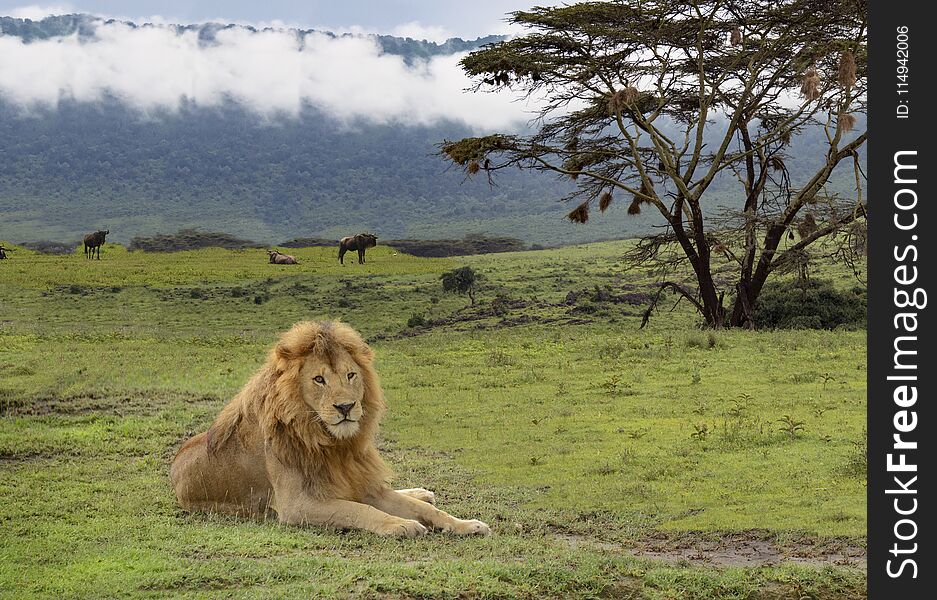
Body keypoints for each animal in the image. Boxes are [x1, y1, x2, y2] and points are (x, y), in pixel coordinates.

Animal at [169, 322, 490, 536]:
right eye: (319, 380)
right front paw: (400, 525)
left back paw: (421, 492)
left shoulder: (360, 483)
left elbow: (426, 510)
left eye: (350, 375)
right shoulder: (297, 505)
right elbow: (358, 509)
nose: (346, 407)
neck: (333, 444)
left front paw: (467, 525)